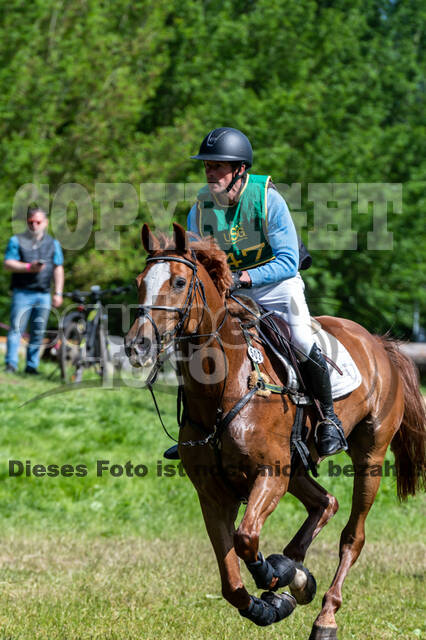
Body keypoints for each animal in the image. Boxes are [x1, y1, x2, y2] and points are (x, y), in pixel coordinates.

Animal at [125, 222, 426, 639]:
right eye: (140, 282)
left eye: (180, 281)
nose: (137, 345)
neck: (224, 387)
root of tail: (379, 344)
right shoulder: (213, 493)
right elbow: (231, 581)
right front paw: (275, 596)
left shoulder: (270, 473)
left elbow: (246, 539)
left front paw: (278, 578)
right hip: (297, 464)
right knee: (325, 503)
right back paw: (294, 576)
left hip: (369, 456)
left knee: (353, 535)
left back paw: (325, 614)